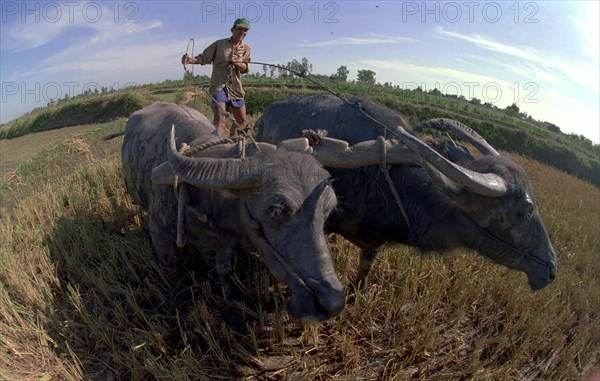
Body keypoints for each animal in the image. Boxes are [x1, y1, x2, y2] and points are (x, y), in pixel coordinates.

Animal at [121, 101, 344, 320]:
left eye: (328, 209)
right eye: (276, 210)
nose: (332, 304)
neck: (202, 195)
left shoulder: (226, 240)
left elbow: (224, 269)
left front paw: (228, 295)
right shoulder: (158, 230)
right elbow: (166, 265)